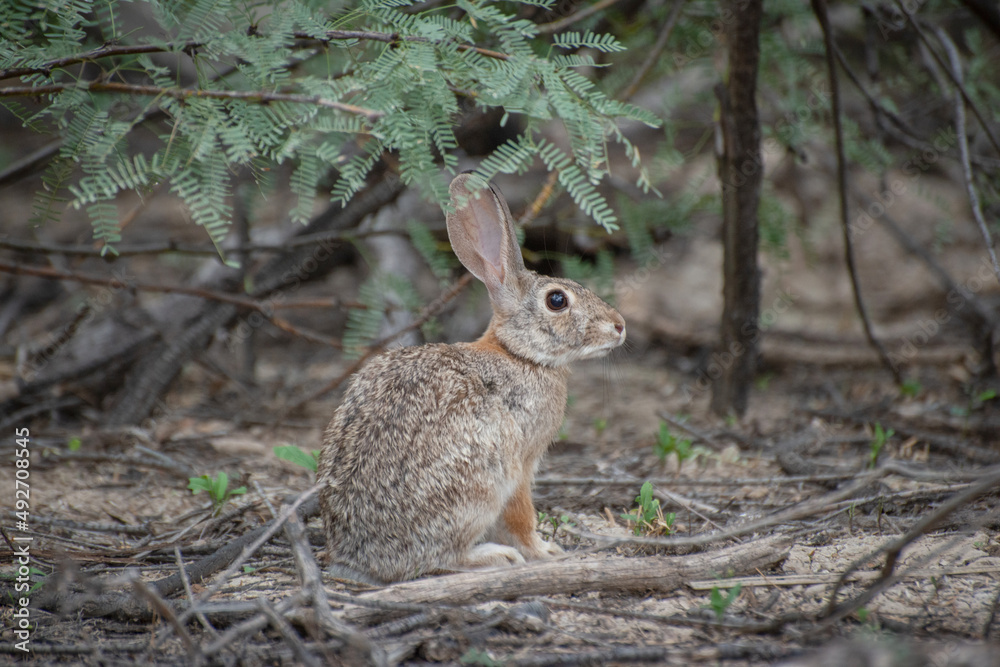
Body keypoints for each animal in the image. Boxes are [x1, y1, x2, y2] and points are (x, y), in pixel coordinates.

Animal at [317, 173, 626, 583]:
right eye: (557, 300)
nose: (620, 326)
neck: (519, 354)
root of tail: (361, 557)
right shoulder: (519, 463)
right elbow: (520, 516)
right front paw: (543, 551)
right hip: (476, 485)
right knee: (442, 556)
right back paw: (495, 556)